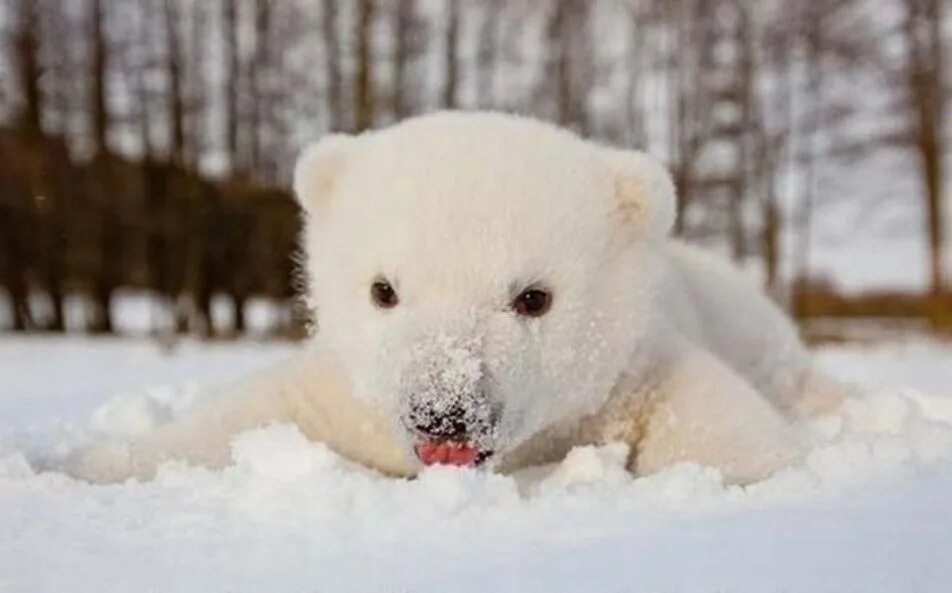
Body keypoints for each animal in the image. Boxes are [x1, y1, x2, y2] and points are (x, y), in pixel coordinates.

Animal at [67, 112, 844, 486]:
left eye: (533, 297)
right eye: (383, 289)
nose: (444, 413)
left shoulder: (631, 374)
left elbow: (715, 419)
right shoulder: (349, 396)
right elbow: (249, 416)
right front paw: (89, 460)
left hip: (743, 314)